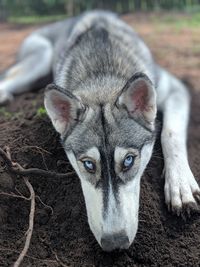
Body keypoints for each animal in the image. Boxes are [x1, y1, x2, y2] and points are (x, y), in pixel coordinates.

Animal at [0, 10, 199, 252]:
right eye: (88, 164)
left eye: (129, 160)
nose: (115, 244)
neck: (102, 73)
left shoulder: (175, 89)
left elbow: (170, 134)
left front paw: (180, 184)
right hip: (41, 57)